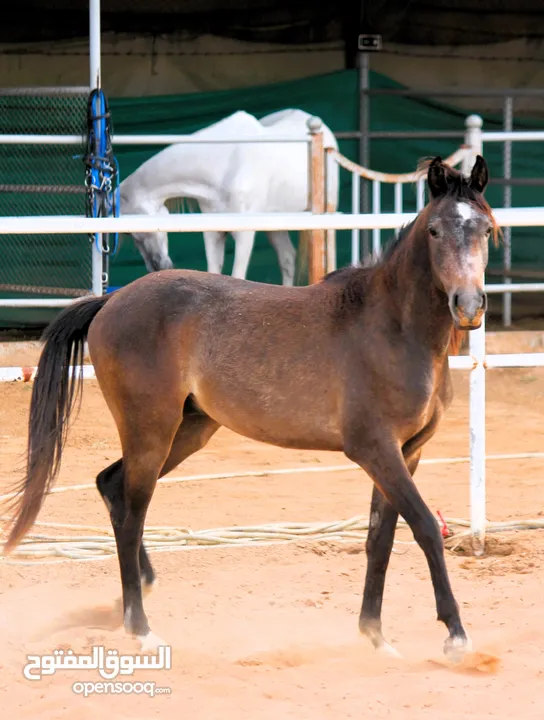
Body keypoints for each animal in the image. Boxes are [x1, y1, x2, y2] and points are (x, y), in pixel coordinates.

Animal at [3, 155, 498, 660]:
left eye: (486, 228)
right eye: (435, 230)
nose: (469, 305)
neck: (391, 327)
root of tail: (110, 300)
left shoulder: (407, 453)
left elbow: (380, 538)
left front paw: (375, 637)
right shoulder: (376, 450)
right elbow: (425, 528)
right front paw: (455, 634)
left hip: (189, 430)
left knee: (112, 486)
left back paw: (139, 593)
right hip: (151, 431)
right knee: (132, 512)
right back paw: (140, 627)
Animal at [119, 109, 338, 284]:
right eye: (129, 235)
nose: (158, 267)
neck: (224, 163)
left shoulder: (245, 235)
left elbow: (237, 276)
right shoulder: (213, 233)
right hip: (275, 225)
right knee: (287, 259)